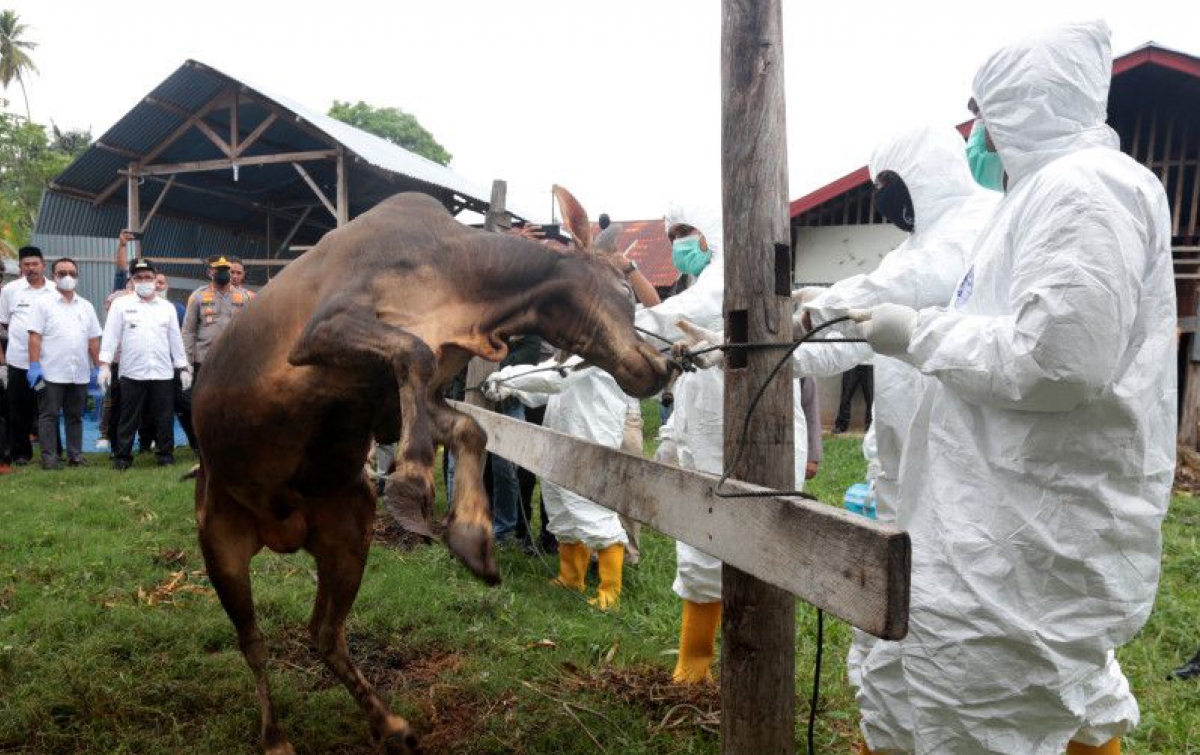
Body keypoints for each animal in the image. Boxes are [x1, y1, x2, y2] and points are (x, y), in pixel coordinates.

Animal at [192, 188, 672, 753]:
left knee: (324, 633)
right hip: (219, 541)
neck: (472, 290)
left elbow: (470, 428)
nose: (661, 365)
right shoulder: (323, 329)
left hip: (349, 532)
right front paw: (412, 479)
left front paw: (470, 535)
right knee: (254, 641)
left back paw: (389, 724)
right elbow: (416, 353)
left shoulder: (393, 403)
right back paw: (275, 737)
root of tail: (280, 531)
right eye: (625, 284)